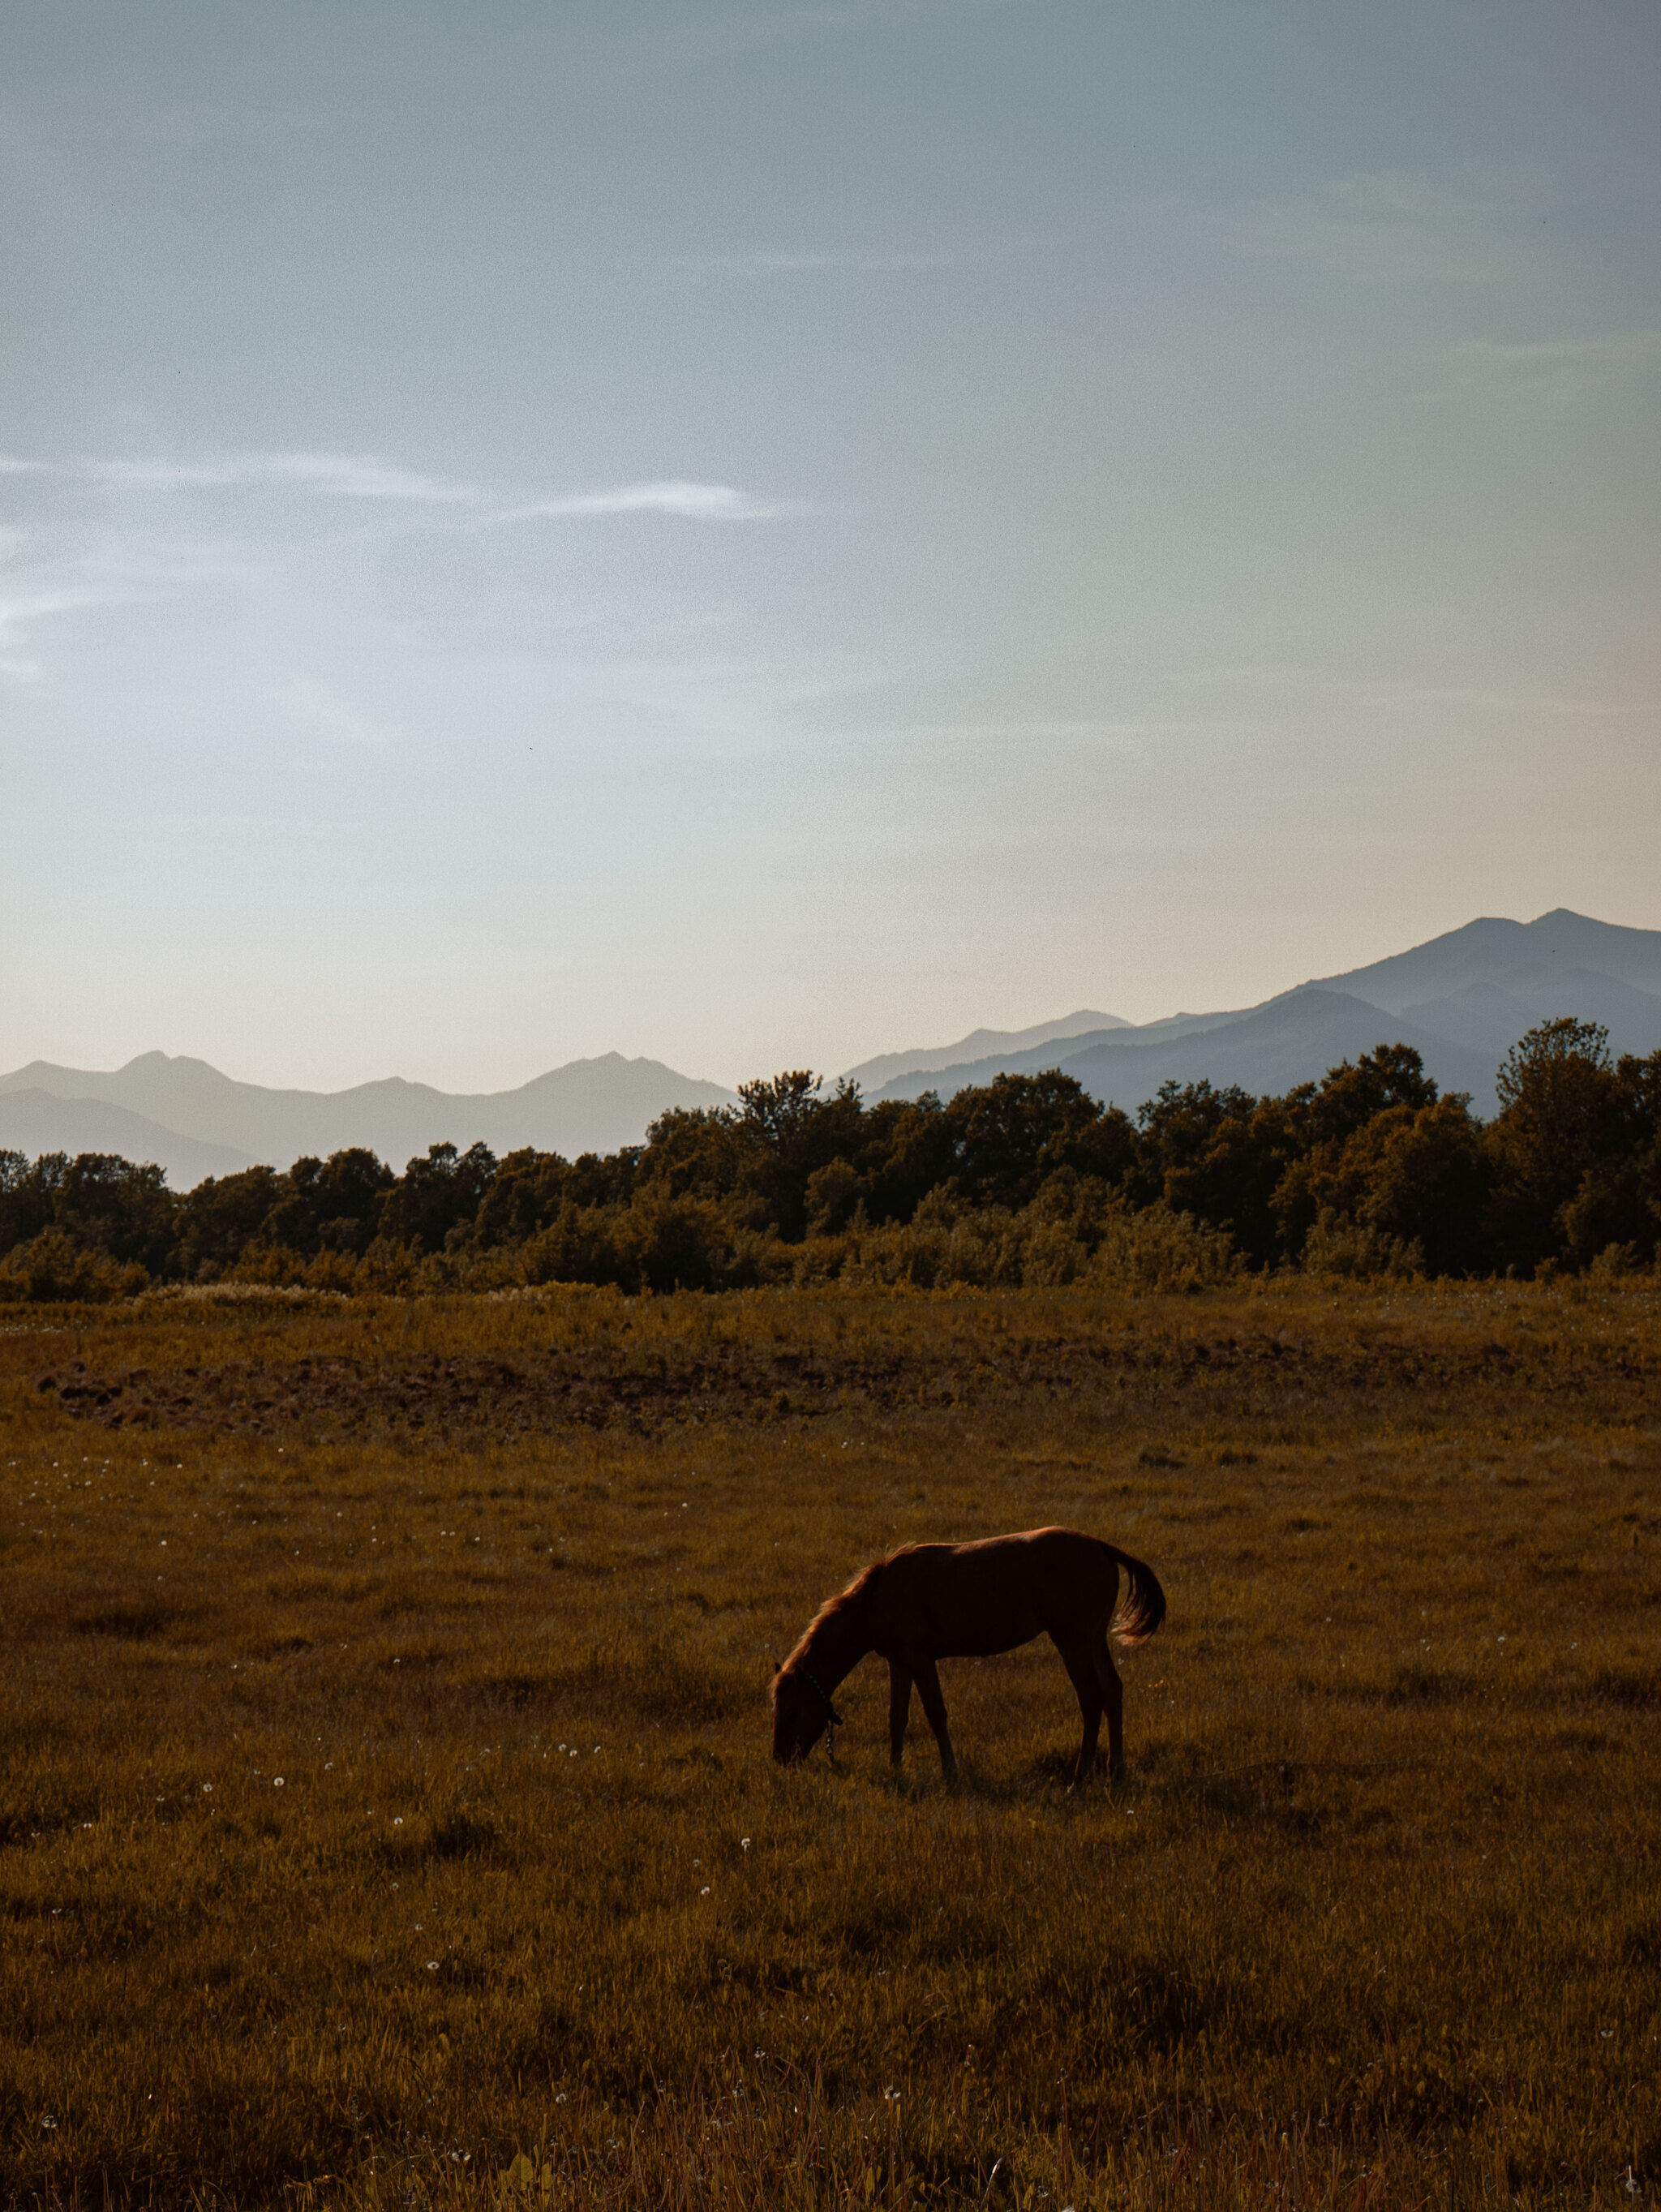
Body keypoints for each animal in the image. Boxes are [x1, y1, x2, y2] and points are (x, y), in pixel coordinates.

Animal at [774, 1531, 1158, 1787]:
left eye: (792, 1713)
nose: (780, 1761)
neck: (878, 1598)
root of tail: (1100, 1548)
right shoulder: (899, 1663)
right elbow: (897, 1717)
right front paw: (896, 1768)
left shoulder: (921, 1661)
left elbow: (936, 1714)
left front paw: (950, 1771)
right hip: (1093, 1640)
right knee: (1112, 1691)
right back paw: (1116, 1769)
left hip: (1073, 1641)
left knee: (1091, 1699)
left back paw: (1080, 1776)